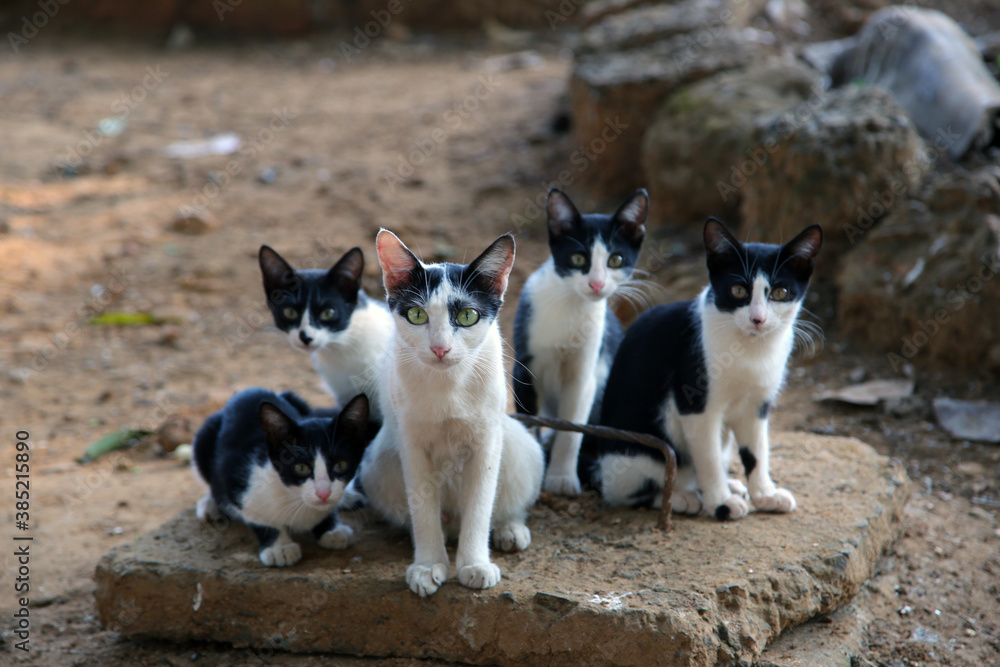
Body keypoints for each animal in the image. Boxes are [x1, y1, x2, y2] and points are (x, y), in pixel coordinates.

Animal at [192, 388, 372, 568]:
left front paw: (331, 529)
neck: (296, 498)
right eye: (301, 468)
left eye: (340, 465)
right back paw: (209, 504)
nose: (323, 493)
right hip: (204, 438)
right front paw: (280, 547)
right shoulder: (233, 476)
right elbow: (257, 516)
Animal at [360, 231, 544, 600]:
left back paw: (510, 529)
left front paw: (474, 564)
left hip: (520, 444)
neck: (447, 386)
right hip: (377, 462)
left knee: (507, 503)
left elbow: (481, 505)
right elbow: (422, 508)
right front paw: (428, 565)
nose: (440, 348)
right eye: (417, 315)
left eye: (468, 316)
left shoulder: (487, 442)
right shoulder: (411, 443)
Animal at [512, 188, 652, 496]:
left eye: (615, 260)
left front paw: (561, 477)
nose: (597, 284)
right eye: (578, 259)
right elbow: (528, 419)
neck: (571, 306)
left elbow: (572, 428)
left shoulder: (585, 374)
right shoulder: (523, 366)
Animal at [584, 219, 824, 520]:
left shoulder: (756, 405)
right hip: (636, 451)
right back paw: (682, 497)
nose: (758, 319)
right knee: (626, 492)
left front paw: (765, 495)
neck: (749, 351)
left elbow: (757, 451)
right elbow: (708, 458)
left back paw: (728, 486)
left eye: (780, 293)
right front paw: (721, 503)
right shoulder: (695, 404)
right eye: (738, 290)